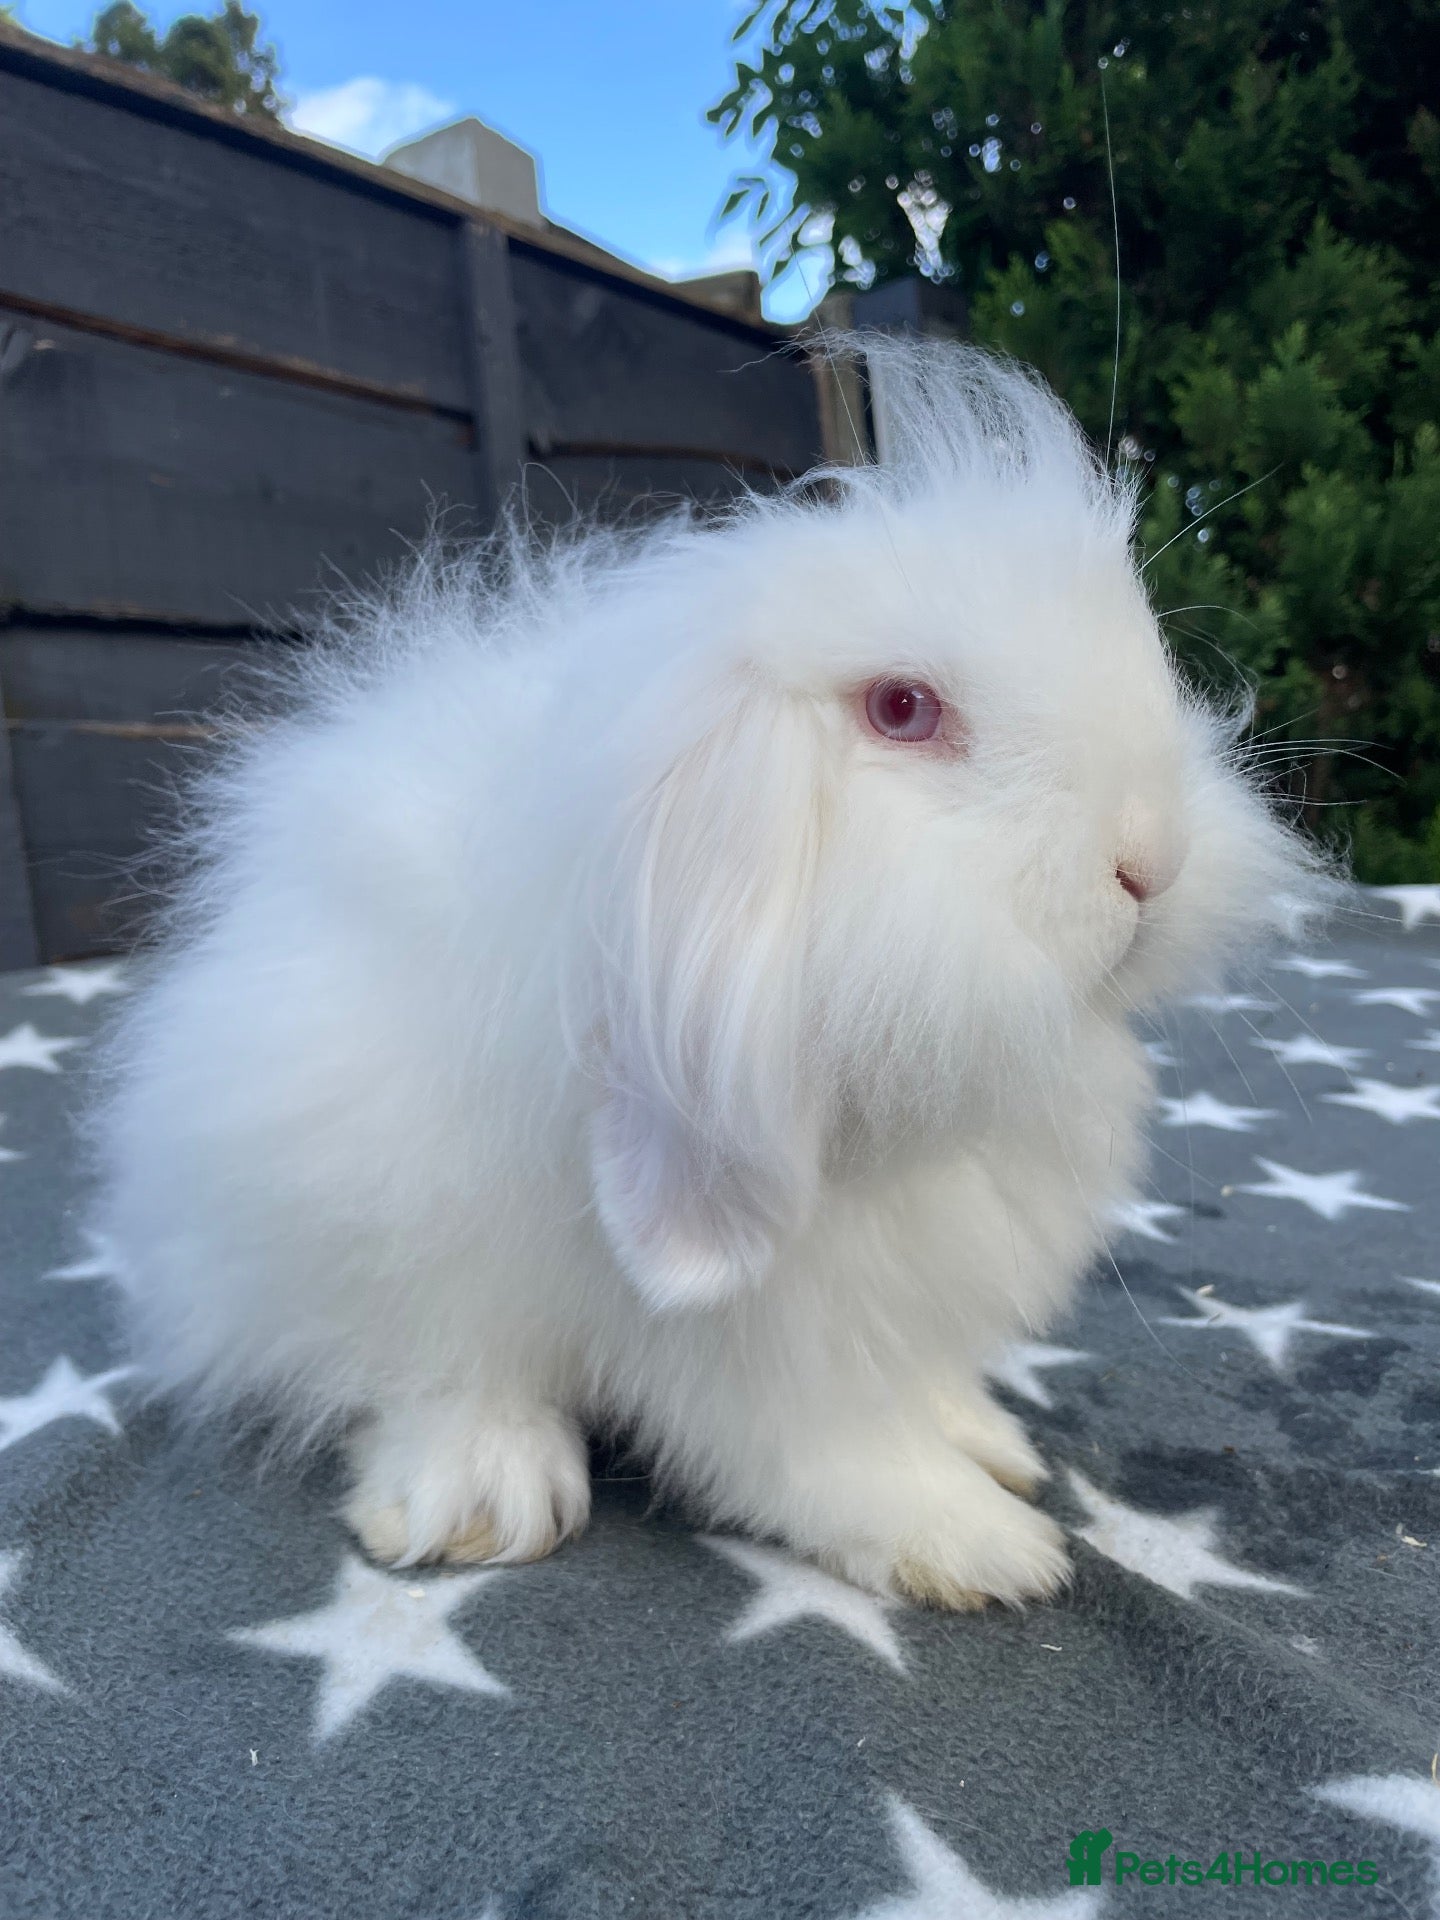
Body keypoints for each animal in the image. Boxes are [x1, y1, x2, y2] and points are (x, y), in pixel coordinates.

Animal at [89, 338, 1331, 1609]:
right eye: (902, 709)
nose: (1152, 862)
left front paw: (984, 1440)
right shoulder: (774, 1320)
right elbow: (824, 1445)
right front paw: (980, 1545)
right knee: (408, 1361)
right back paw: (483, 1493)